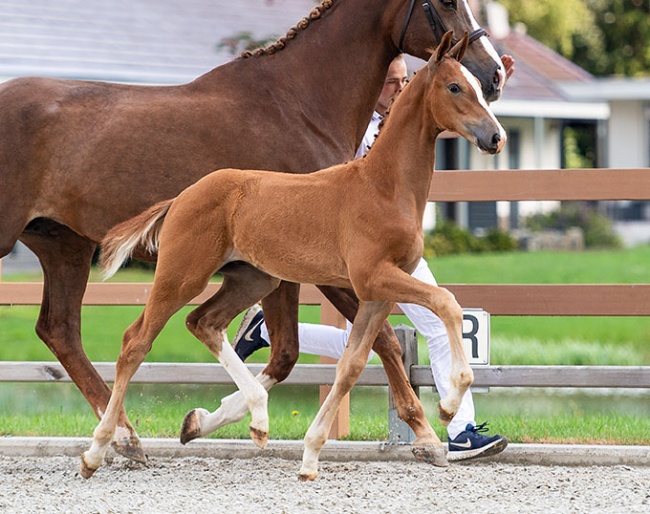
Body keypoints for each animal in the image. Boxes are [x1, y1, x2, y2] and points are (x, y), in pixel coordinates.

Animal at [85, 31, 502, 480]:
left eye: (478, 87)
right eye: (455, 87)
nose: (496, 137)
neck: (384, 187)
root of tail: (182, 196)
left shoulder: (377, 293)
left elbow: (352, 365)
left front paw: (310, 456)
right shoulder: (373, 277)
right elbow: (447, 303)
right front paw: (448, 404)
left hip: (253, 278)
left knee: (204, 323)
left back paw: (249, 419)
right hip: (181, 275)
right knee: (135, 343)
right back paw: (97, 451)